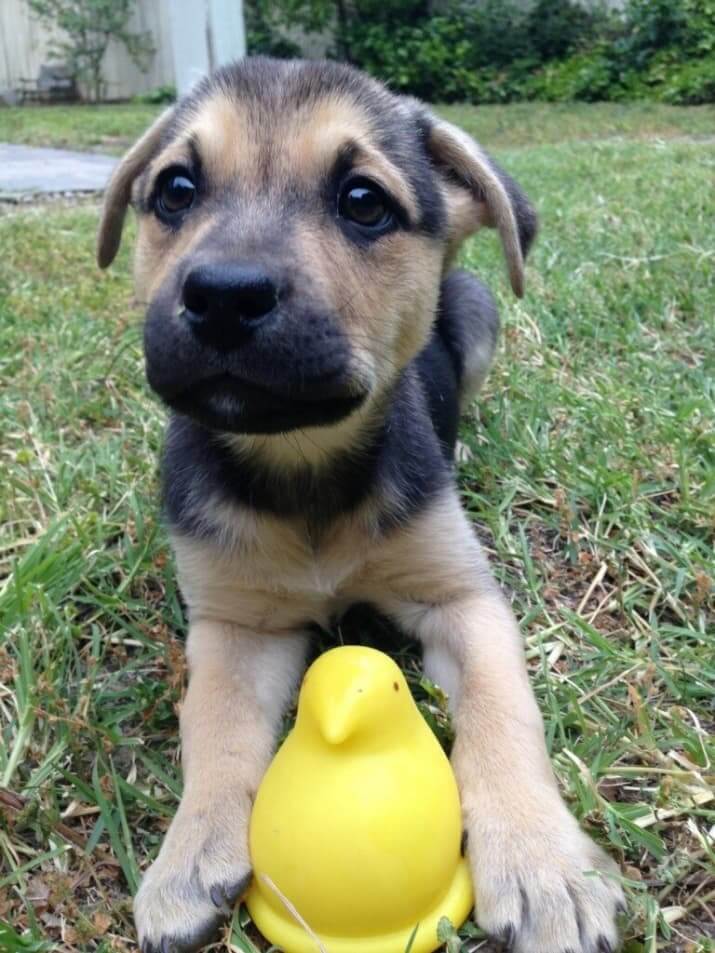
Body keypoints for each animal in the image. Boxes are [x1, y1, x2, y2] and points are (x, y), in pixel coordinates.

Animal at [98, 57, 624, 952]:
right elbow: (214, 724)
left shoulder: (461, 598)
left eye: (363, 201)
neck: (303, 464)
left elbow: (503, 714)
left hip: (476, 305)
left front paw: (541, 862)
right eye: (175, 190)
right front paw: (189, 850)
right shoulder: (236, 621)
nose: (223, 295)